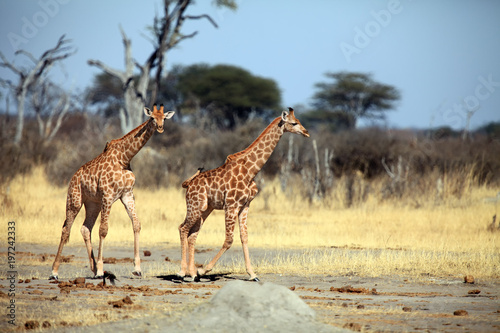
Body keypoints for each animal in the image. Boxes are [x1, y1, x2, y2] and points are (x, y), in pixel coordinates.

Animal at [48, 105, 174, 278]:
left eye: (164, 118)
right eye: (152, 118)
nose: (161, 128)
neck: (124, 158)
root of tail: (73, 177)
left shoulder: (127, 194)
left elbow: (136, 224)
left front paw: (137, 269)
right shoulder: (108, 195)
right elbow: (103, 230)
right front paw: (101, 270)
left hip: (92, 204)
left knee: (85, 229)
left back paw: (93, 269)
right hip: (74, 200)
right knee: (66, 230)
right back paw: (55, 272)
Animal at [176, 106, 308, 280]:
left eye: (298, 121)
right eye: (294, 123)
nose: (306, 132)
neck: (251, 171)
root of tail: (188, 184)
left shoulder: (245, 205)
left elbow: (244, 237)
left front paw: (252, 274)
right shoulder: (231, 205)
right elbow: (229, 240)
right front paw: (203, 270)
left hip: (205, 209)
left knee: (192, 233)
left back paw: (191, 273)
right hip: (194, 206)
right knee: (183, 228)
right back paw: (183, 272)